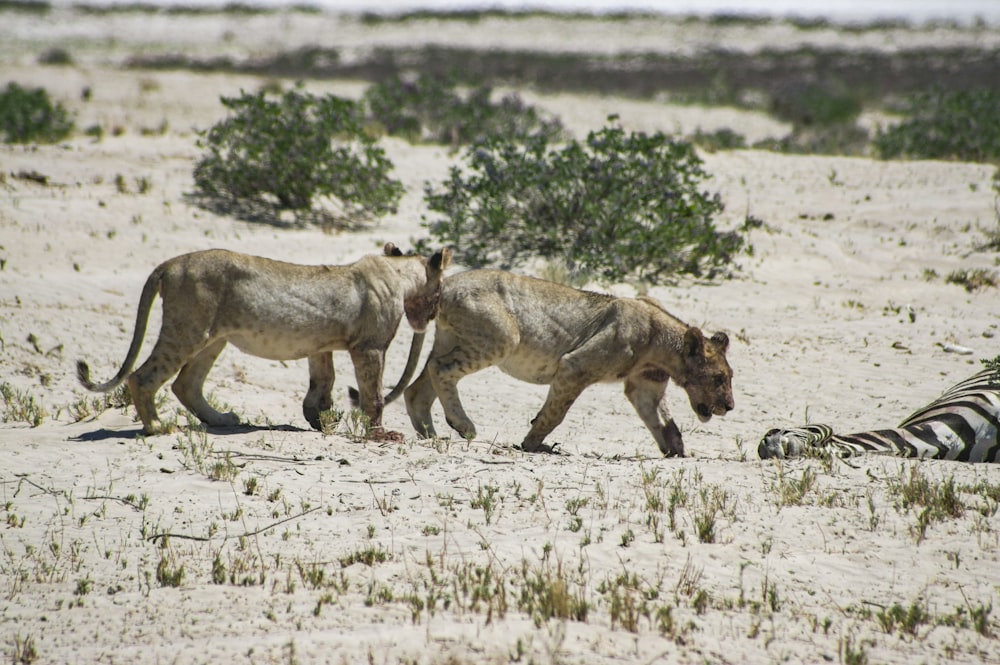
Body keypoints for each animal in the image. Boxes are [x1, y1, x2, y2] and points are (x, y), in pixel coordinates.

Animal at [76, 244, 452, 436]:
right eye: (439, 292)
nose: (434, 315)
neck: (398, 275)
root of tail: (168, 264)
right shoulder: (370, 347)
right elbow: (372, 395)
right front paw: (380, 434)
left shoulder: (321, 346)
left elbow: (323, 382)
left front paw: (319, 420)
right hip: (187, 330)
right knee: (143, 377)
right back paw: (157, 426)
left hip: (214, 339)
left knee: (186, 384)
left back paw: (221, 420)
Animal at [386, 270, 732, 456]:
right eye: (718, 378)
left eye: (728, 376)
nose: (729, 406)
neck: (661, 345)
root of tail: (446, 283)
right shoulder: (575, 366)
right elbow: (555, 414)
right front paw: (531, 444)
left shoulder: (645, 387)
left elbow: (664, 422)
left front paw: (678, 452)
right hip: (502, 338)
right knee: (442, 369)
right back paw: (463, 426)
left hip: (451, 338)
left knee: (420, 384)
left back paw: (430, 434)